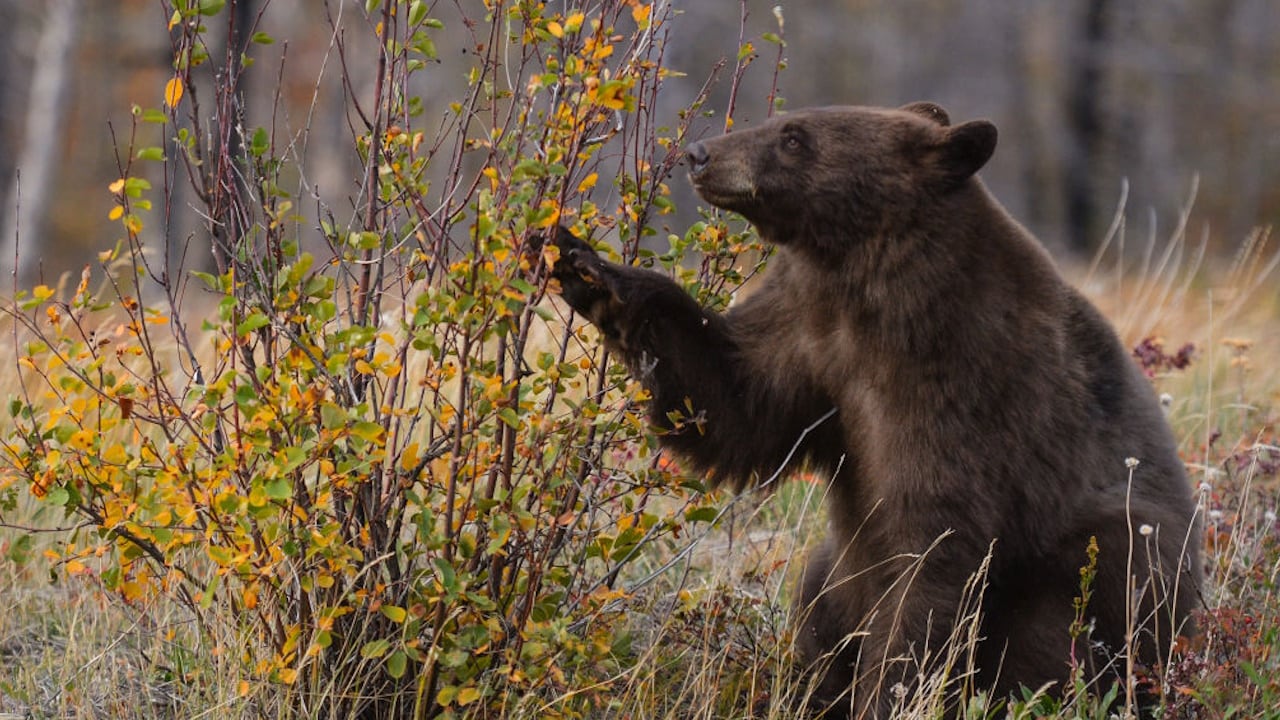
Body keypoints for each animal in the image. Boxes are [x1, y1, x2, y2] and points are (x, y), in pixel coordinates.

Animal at [533, 102, 1202, 718]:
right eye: (783, 122)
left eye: (795, 137)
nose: (701, 154)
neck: (867, 284)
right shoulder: (808, 331)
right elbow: (730, 402)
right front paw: (582, 262)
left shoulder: (962, 385)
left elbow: (929, 548)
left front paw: (889, 692)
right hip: (835, 566)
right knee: (818, 597)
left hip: (1103, 562)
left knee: (1066, 621)